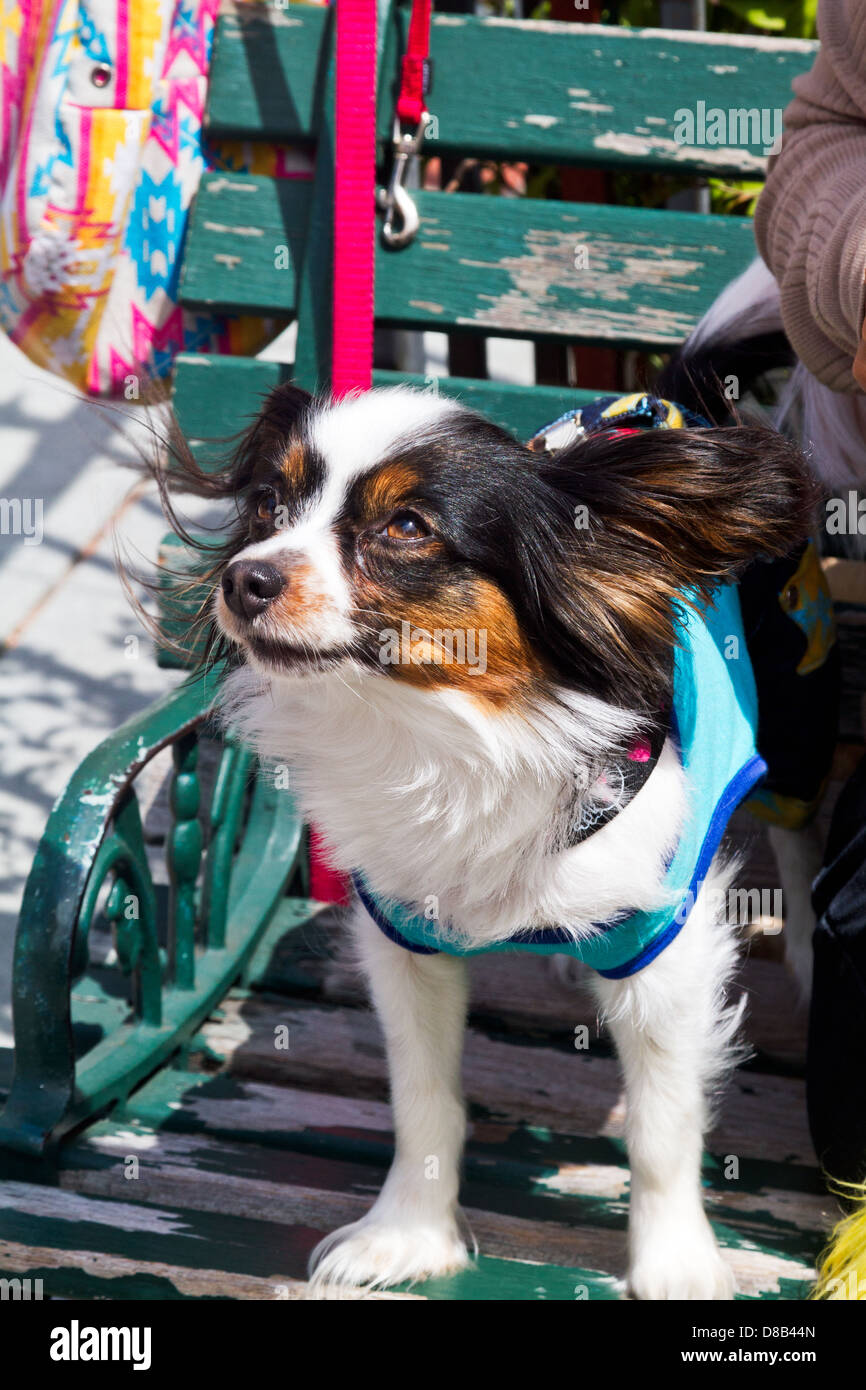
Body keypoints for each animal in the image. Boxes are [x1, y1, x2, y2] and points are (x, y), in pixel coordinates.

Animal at [164, 386, 834, 1295]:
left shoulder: (667, 948)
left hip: (794, 719)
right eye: (268, 505)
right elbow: (423, 1100)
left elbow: (662, 1127)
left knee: (798, 834)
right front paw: (408, 1235)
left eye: (406, 527)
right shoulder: (404, 938)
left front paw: (678, 1264)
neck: (450, 733)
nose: (245, 576)